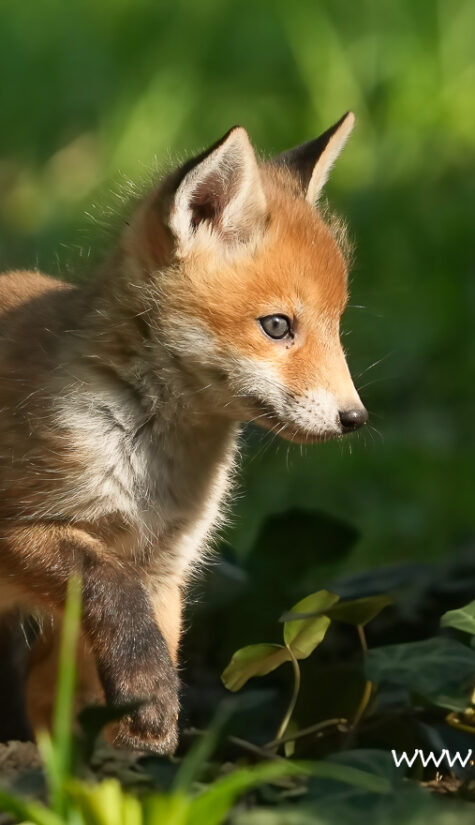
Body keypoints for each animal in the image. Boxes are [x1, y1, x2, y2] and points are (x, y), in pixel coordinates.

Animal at [0, 112, 367, 754]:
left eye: (336, 325)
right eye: (277, 326)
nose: (356, 418)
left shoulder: (164, 571)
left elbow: (120, 675)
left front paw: (136, 762)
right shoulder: (30, 531)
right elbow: (113, 593)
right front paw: (149, 712)